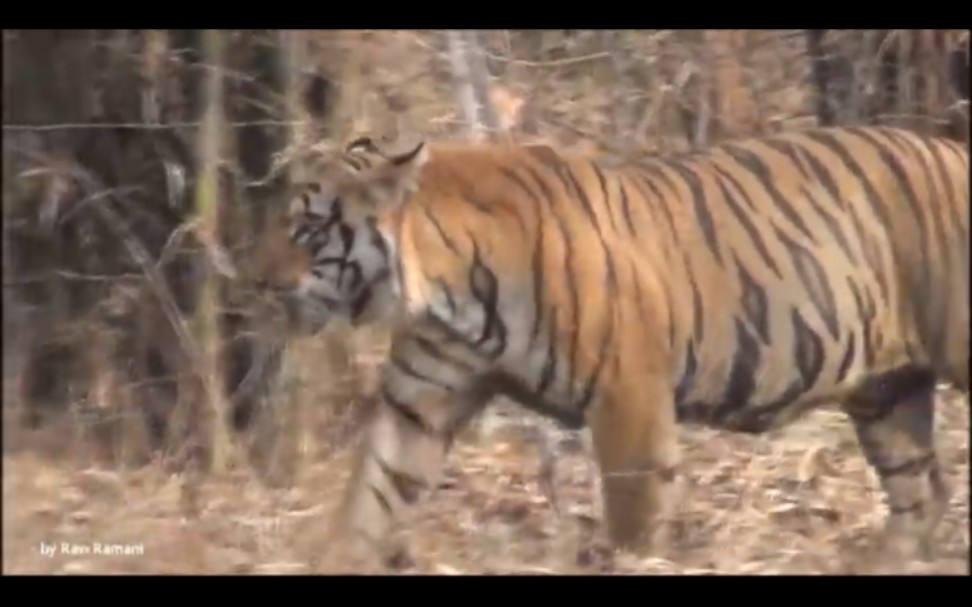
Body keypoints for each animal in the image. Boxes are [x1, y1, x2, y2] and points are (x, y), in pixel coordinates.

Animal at [254, 126, 968, 568]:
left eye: (308, 228)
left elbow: (632, 518)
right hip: (886, 394)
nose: (258, 281)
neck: (440, 289)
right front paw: (335, 556)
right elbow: (372, 495)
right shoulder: (421, 399)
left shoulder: (629, 396)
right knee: (921, 492)